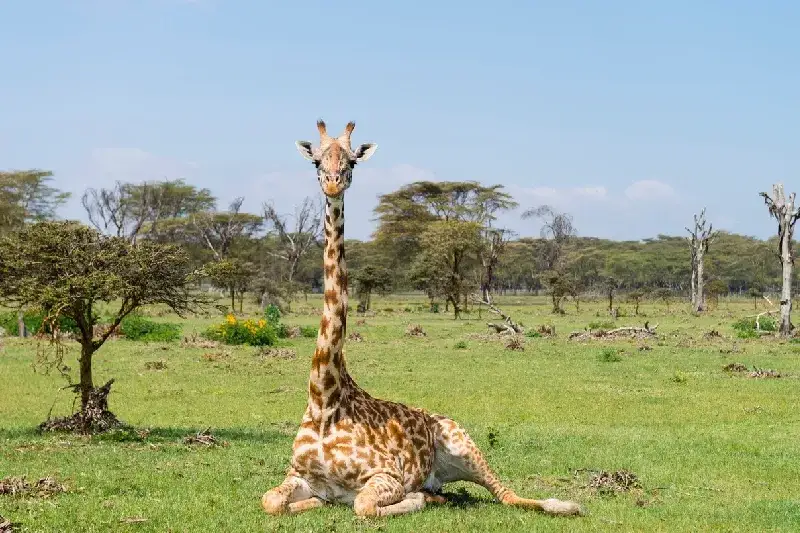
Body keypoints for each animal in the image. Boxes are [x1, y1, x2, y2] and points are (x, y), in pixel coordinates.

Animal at [261, 120, 584, 518]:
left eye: (352, 161)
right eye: (316, 162)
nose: (333, 184)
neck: (324, 400)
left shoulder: (386, 475)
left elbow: (364, 505)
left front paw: (414, 498)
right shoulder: (301, 475)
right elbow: (272, 500)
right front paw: (309, 505)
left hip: (463, 442)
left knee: (505, 493)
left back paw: (564, 504)